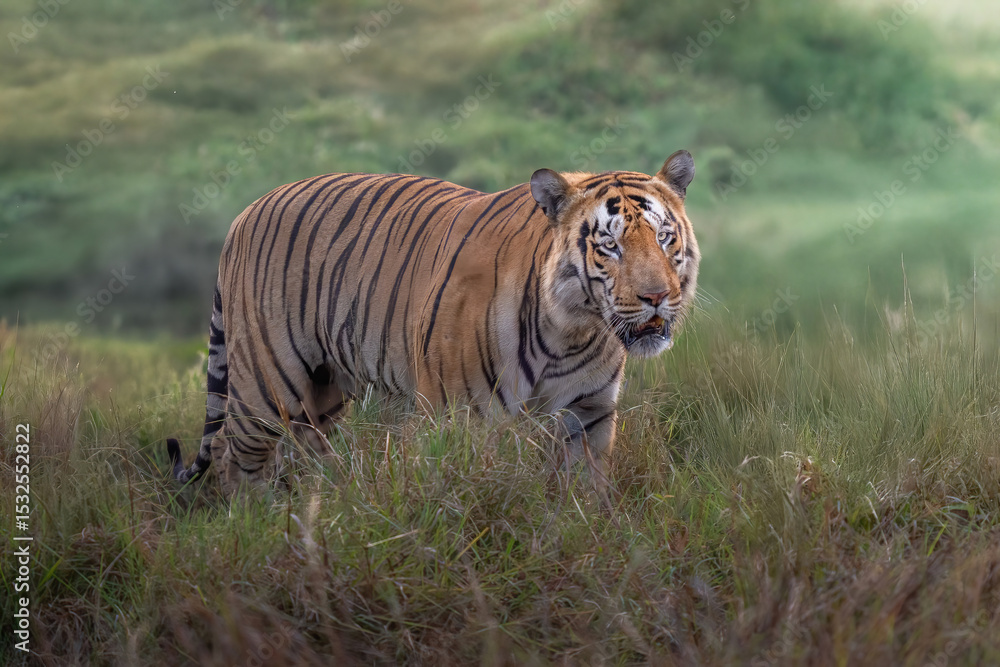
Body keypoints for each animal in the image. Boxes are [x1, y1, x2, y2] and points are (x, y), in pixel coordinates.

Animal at [167, 150, 700, 497]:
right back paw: (256, 527)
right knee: (234, 453)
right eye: (610, 246)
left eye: (663, 237)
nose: (656, 297)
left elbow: (584, 490)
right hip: (266, 380)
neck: (573, 331)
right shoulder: (458, 418)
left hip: (321, 393)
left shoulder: (586, 414)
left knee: (308, 449)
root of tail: (245, 212)